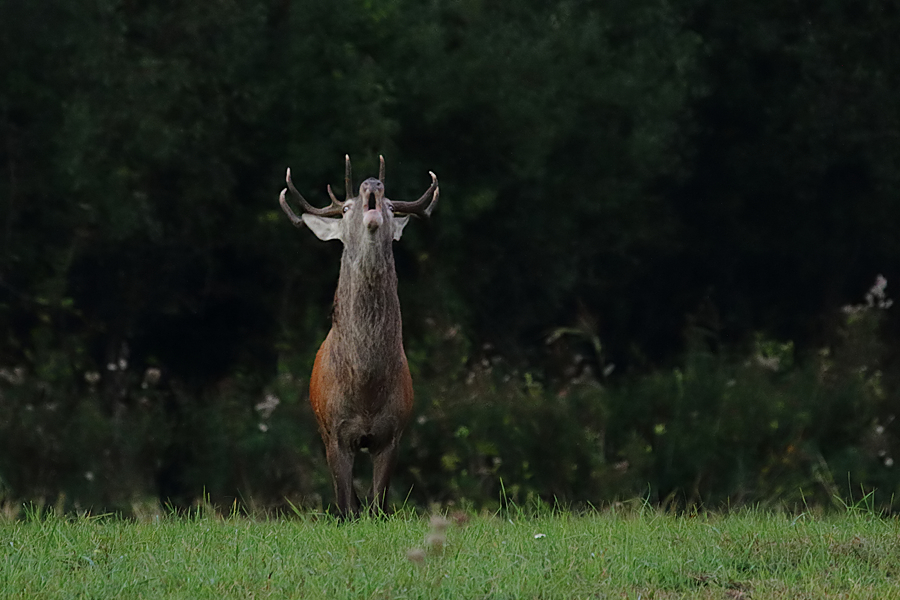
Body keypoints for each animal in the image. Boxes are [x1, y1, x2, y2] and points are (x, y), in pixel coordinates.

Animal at [278, 155, 440, 516]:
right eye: (345, 207)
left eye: (392, 205)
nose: (372, 183)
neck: (366, 389)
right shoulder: (335, 433)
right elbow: (345, 506)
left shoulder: (393, 433)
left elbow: (378, 504)